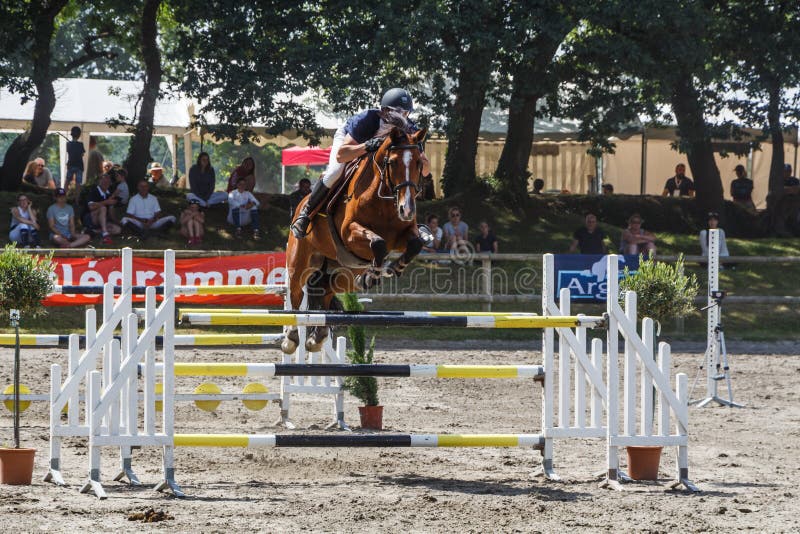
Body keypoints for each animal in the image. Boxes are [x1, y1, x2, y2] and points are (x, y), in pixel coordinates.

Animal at [282, 125, 432, 356]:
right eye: (393, 162)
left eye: (418, 162)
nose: (406, 209)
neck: (383, 200)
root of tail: (301, 204)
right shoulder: (349, 232)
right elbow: (378, 243)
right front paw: (375, 274)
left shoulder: (403, 235)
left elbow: (414, 244)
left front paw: (392, 268)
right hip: (300, 261)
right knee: (296, 292)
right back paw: (290, 338)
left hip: (344, 273)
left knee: (325, 289)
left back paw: (318, 336)